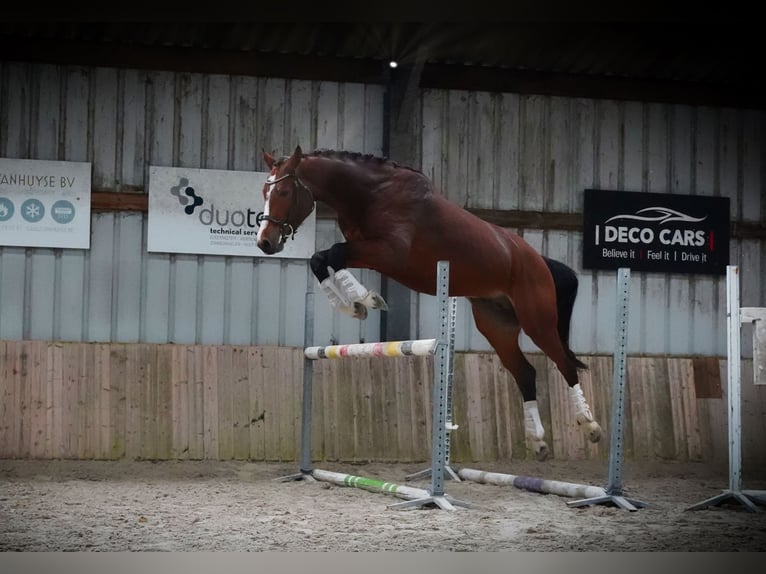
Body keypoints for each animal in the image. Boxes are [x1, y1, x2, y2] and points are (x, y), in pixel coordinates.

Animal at [258, 145, 608, 464]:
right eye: (265, 190)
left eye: (284, 191)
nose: (265, 241)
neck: (372, 193)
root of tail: (538, 260)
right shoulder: (368, 249)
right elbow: (323, 259)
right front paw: (355, 305)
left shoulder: (390, 253)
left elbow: (332, 254)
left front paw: (366, 300)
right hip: (497, 325)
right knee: (525, 372)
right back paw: (538, 442)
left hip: (537, 320)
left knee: (563, 363)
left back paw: (590, 426)